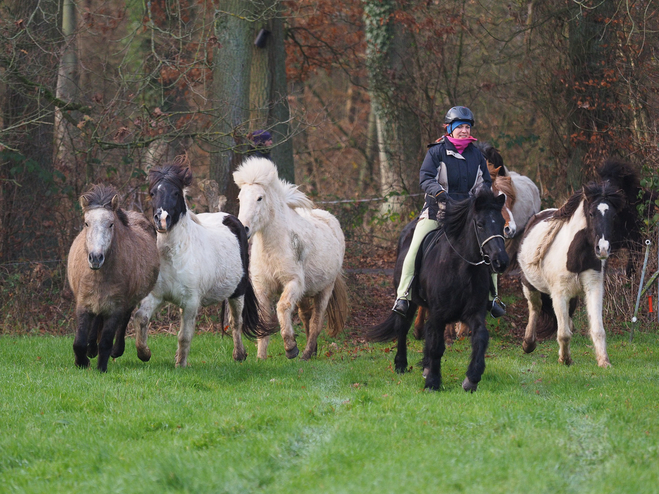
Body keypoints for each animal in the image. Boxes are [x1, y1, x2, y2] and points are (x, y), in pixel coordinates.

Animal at [67, 184, 160, 370]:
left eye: (111, 224)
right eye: (86, 223)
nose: (96, 257)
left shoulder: (115, 307)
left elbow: (106, 341)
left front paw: (101, 368)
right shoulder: (83, 304)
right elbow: (79, 342)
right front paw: (83, 362)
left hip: (128, 301)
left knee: (124, 320)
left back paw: (116, 350)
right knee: (97, 319)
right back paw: (91, 349)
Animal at [134, 163, 268, 366]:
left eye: (175, 193)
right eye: (152, 193)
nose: (162, 220)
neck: (175, 256)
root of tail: (231, 219)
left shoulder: (191, 303)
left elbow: (184, 336)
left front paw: (180, 365)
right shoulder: (156, 295)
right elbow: (142, 318)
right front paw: (144, 353)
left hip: (237, 292)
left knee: (236, 322)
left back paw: (239, 355)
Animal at [233, 156, 350, 360]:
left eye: (260, 198)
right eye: (240, 198)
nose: (244, 228)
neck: (272, 250)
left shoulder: (292, 283)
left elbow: (282, 307)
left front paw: (290, 348)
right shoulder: (262, 288)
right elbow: (264, 318)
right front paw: (260, 357)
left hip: (325, 289)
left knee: (316, 321)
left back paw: (306, 354)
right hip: (305, 292)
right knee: (306, 316)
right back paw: (312, 351)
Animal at [366, 187, 510, 392]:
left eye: (501, 224)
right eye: (480, 224)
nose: (501, 262)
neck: (462, 269)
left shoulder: (473, 312)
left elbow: (480, 337)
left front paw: (472, 379)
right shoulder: (439, 313)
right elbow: (437, 345)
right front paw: (433, 382)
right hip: (408, 301)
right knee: (402, 327)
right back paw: (401, 364)